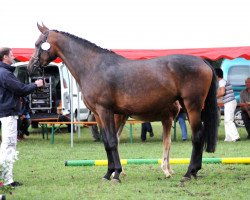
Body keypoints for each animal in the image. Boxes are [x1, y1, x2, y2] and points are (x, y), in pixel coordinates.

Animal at [27, 23, 219, 183]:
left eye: (38, 44)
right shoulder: (98, 114)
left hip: (192, 106)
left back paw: (188, 173)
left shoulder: (105, 111)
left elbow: (113, 141)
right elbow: (106, 142)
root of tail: (202, 61)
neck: (93, 67)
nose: (31, 68)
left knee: (197, 136)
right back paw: (194, 171)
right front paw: (108, 173)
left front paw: (117, 174)